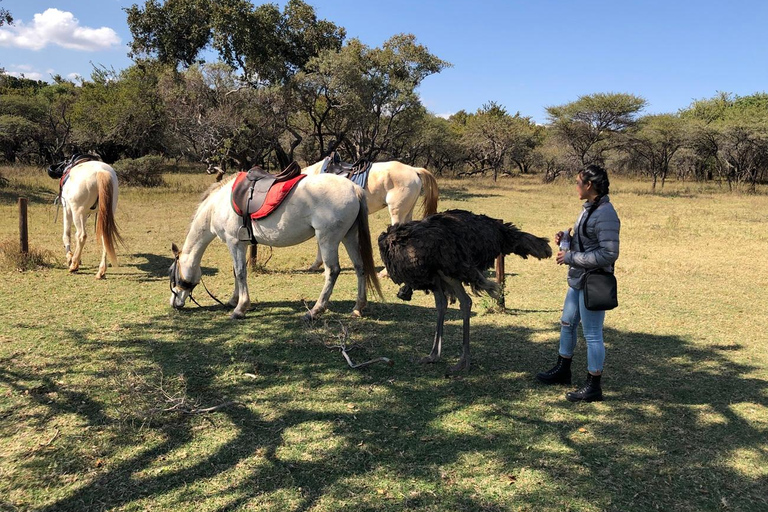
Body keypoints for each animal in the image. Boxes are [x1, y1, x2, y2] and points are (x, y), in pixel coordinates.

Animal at [170, 169, 380, 320]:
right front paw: (233, 300)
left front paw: (240, 308)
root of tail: (354, 188)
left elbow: (240, 272)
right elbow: (237, 272)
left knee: (332, 271)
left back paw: (315, 310)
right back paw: (358, 307)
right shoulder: (240, 244)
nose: (174, 302)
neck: (217, 205)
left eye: (172, 273)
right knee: (360, 267)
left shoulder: (234, 242)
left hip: (328, 239)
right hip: (349, 237)